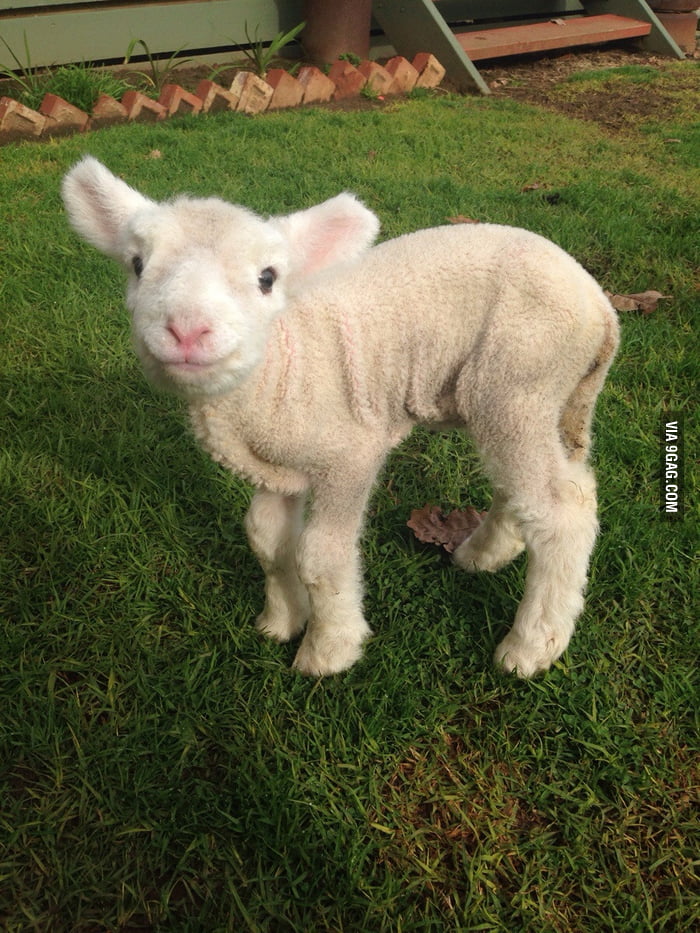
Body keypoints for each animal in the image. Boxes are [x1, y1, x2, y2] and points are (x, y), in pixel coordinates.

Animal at [61, 155, 616, 676]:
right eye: (136, 264)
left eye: (267, 279)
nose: (186, 330)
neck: (282, 362)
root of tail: (600, 305)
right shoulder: (277, 466)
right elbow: (266, 539)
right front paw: (280, 621)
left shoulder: (348, 454)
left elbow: (319, 556)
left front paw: (328, 650)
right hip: (531, 399)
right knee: (532, 487)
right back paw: (482, 555)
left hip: (520, 377)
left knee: (562, 510)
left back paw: (531, 646)